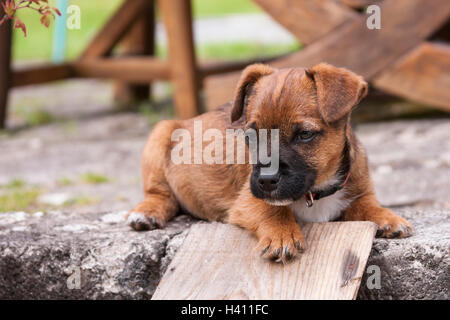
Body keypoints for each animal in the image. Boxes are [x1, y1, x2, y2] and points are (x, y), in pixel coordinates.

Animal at [125, 62, 412, 262]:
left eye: (304, 134)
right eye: (251, 135)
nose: (265, 180)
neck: (315, 192)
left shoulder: (359, 189)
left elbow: (367, 204)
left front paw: (387, 217)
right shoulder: (247, 200)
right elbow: (272, 209)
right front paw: (282, 234)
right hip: (160, 135)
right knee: (160, 194)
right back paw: (146, 213)